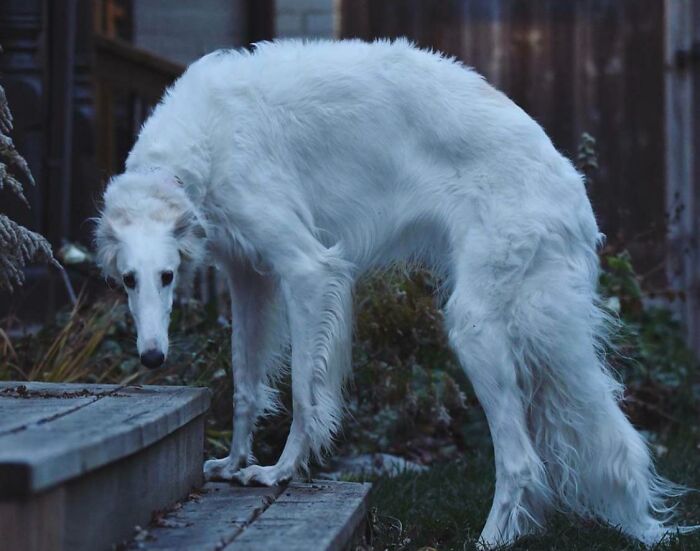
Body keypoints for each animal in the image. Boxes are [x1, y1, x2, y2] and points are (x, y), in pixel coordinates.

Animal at [93, 38, 688, 548]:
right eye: (128, 280)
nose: (151, 359)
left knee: (521, 461)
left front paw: (281, 470)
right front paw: (234, 462)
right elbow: (245, 386)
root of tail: (572, 187)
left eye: (167, 277)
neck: (202, 137)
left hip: (477, 326)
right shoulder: (249, 276)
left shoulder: (308, 268)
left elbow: (305, 396)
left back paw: (491, 538)